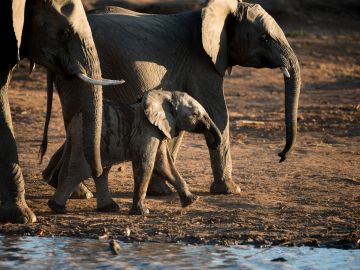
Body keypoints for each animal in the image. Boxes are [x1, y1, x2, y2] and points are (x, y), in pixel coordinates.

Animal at [47, 89, 222, 215]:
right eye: (195, 114)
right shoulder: (146, 130)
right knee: (79, 170)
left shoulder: (157, 130)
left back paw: (109, 208)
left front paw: (193, 200)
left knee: (101, 171)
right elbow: (147, 164)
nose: (213, 143)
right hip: (84, 140)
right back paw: (57, 208)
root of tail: (73, 123)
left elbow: (164, 164)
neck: (164, 95)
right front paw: (142, 212)